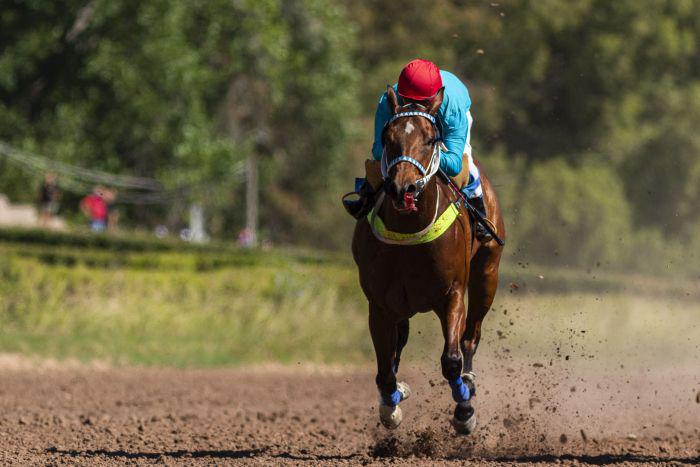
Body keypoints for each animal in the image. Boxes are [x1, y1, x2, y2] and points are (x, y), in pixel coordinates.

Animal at [352, 85, 506, 436]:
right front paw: (391, 405)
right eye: (387, 137)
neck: (410, 233)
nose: (403, 187)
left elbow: (450, 360)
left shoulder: (452, 295)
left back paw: (469, 380)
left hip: (487, 274)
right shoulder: (380, 304)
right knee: (398, 345)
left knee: (470, 336)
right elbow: (385, 369)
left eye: (430, 138)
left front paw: (464, 411)